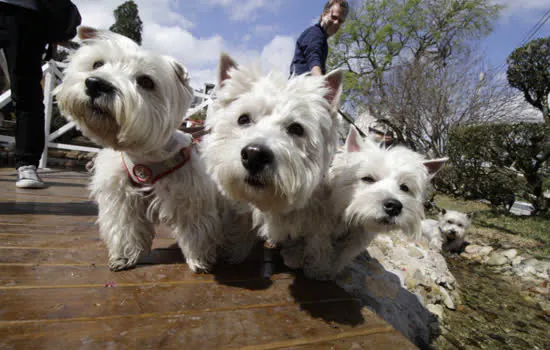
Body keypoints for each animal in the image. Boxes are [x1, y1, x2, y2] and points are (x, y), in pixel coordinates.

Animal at [56, 28, 254, 274]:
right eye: (97, 64)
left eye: (145, 81)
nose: (95, 84)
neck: (144, 156)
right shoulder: (121, 199)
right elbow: (125, 228)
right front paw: (123, 257)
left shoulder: (190, 199)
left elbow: (195, 232)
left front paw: (199, 260)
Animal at [203, 54, 344, 278]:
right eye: (243, 119)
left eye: (296, 128)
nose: (254, 155)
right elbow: (241, 225)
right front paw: (234, 252)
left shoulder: (320, 215)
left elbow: (317, 240)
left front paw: (317, 269)